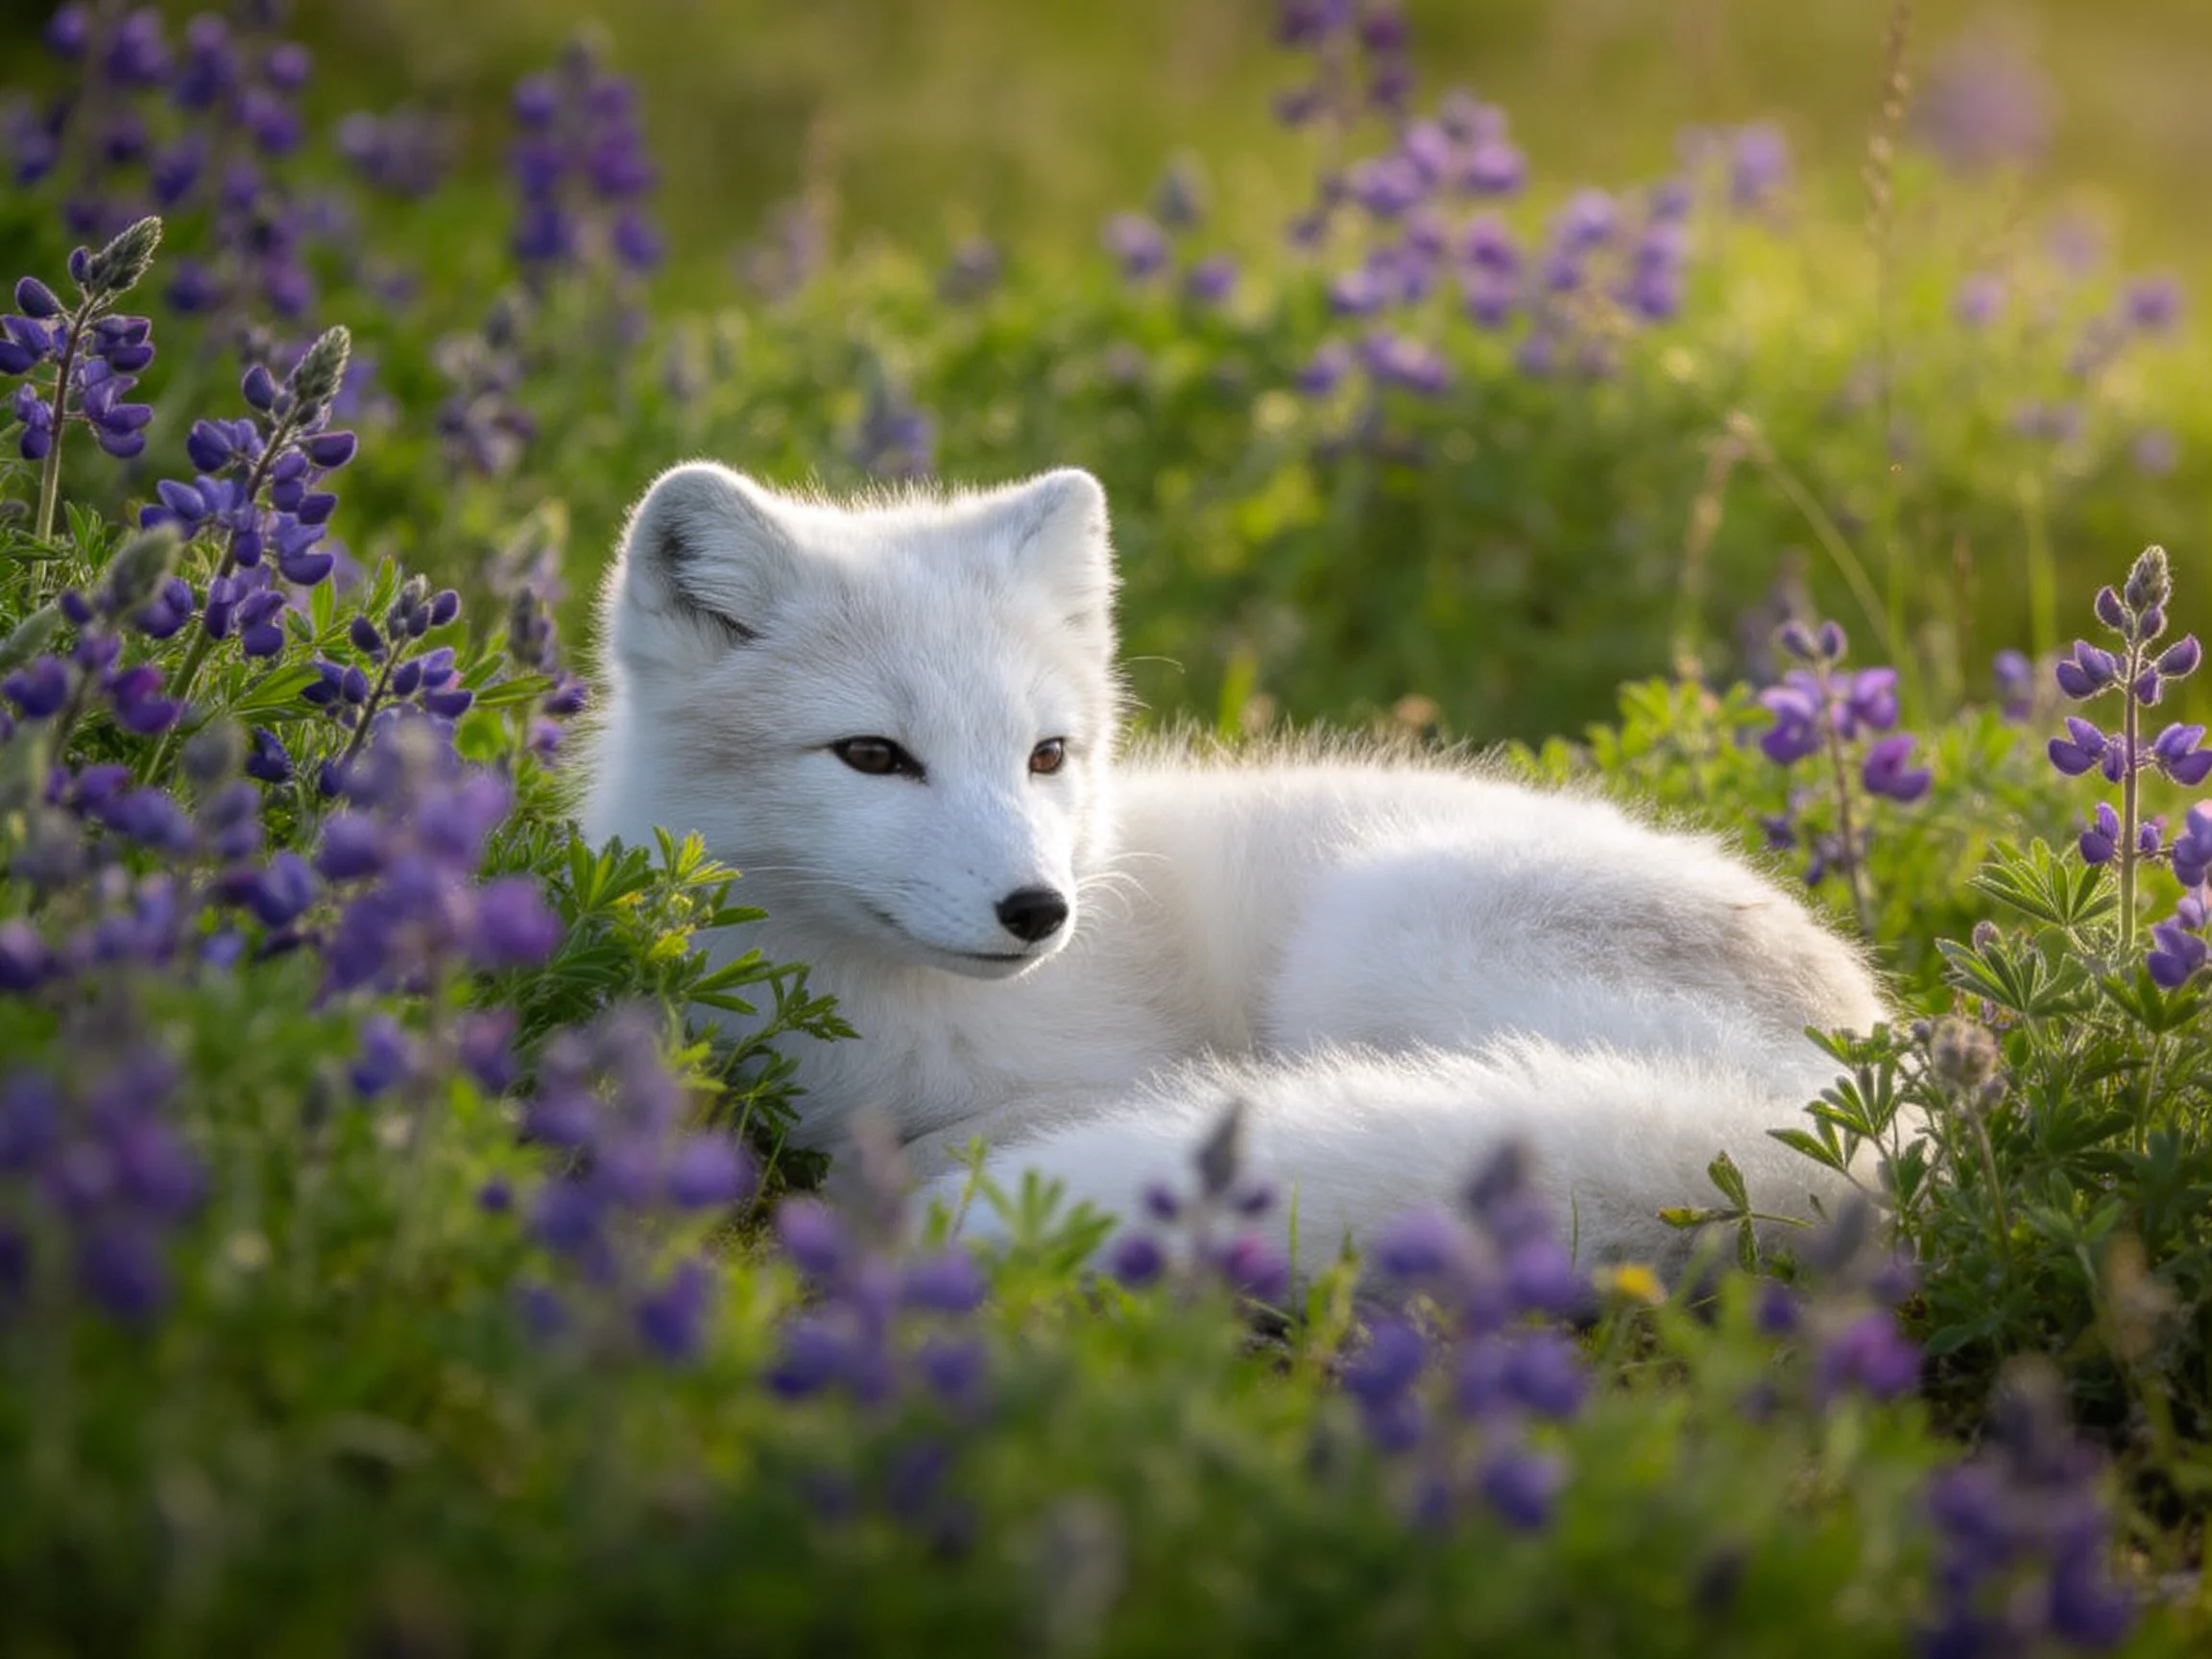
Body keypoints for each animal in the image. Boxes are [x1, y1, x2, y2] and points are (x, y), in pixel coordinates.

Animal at [578, 462, 1888, 1273]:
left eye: (1046, 754)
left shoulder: (1116, 1069)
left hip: (1363, 939)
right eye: (871, 756)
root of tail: (1875, 1115)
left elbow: (931, 1148)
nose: (1038, 910)